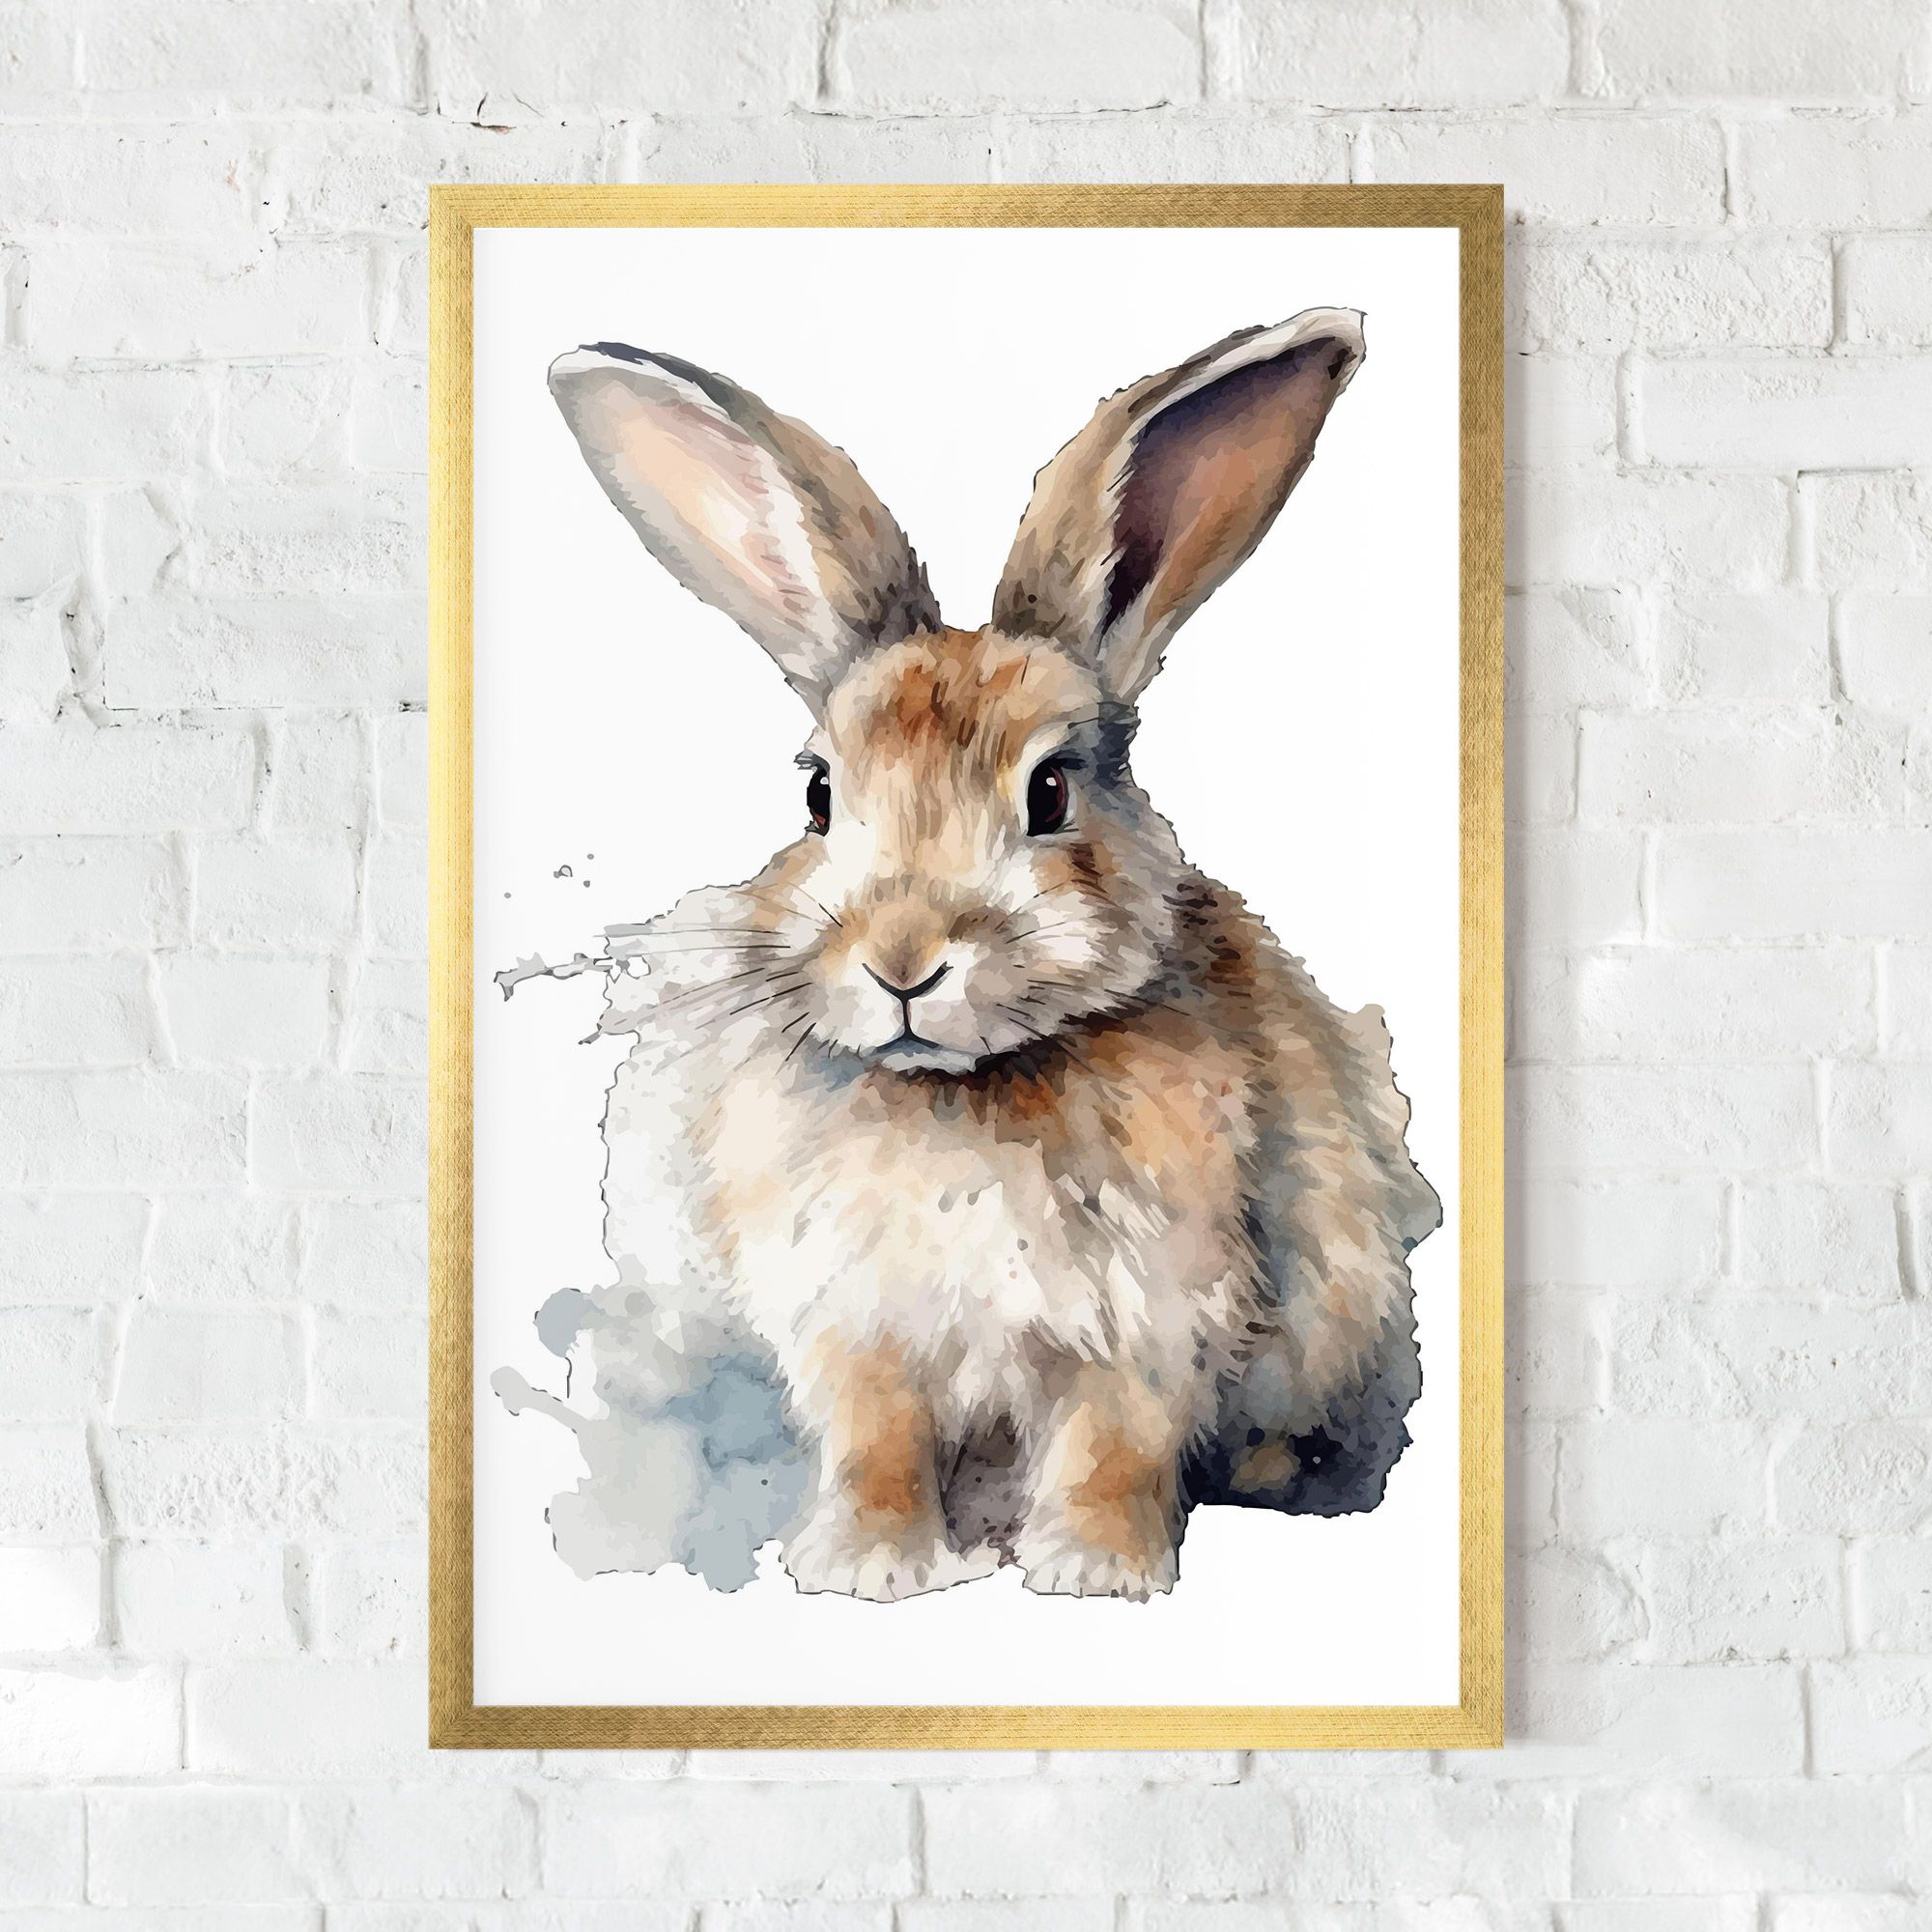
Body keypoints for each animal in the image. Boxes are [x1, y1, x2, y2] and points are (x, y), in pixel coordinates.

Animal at [546, 309, 1440, 1602]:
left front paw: (1096, 1573)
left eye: (1051, 789)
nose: (903, 961)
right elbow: (877, 1441)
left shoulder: (1149, 1319)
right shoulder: (860, 1327)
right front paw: (866, 1567)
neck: (960, 1090)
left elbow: (1112, 1444)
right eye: (818, 795)